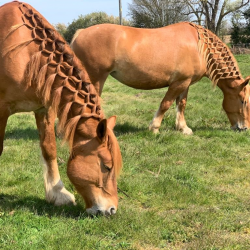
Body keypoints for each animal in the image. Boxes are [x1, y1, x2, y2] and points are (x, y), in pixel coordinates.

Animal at [0, 1, 122, 216]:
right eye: (107, 167)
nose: (112, 209)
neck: (27, 55)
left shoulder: (44, 109)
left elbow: (49, 149)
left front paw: (57, 194)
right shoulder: (1, 109)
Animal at [71, 23, 250, 135]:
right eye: (243, 101)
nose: (244, 128)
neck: (201, 47)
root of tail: (81, 33)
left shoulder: (185, 83)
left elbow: (181, 105)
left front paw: (183, 128)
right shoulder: (178, 83)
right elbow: (166, 104)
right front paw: (154, 128)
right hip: (95, 78)